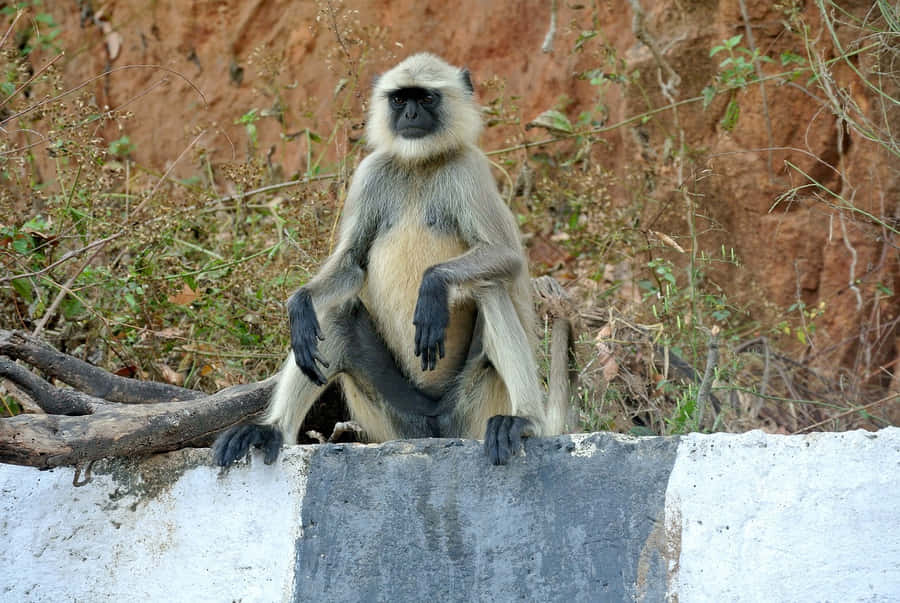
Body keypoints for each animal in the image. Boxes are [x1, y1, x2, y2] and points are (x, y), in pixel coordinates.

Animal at [213, 53, 566, 467]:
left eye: (425, 98)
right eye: (399, 100)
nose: (410, 114)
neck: (419, 165)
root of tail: (434, 426)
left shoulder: (468, 168)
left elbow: (507, 257)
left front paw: (432, 287)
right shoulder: (371, 173)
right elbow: (350, 263)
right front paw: (298, 303)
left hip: (475, 404)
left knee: (489, 287)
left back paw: (525, 420)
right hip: (395, 416)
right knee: (334, 314)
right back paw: (271, 429)